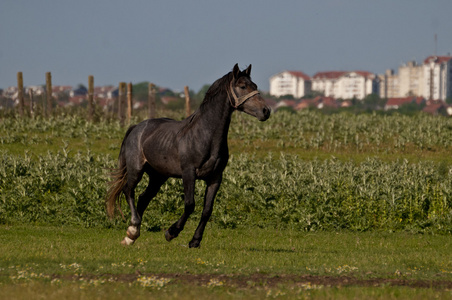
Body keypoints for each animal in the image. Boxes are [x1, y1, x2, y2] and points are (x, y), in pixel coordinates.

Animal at [106, 63, 270, 248]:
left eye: (254, 85)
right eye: (242, 86)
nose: (266, 111)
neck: (204, 135)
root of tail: (136, 127)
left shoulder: (215, 178)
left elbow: (207, 210)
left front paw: (195, 241)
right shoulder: (189, 173)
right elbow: (190, 205)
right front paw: (171, 232)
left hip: (158, 176)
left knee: (143, 198)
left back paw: (132, 234)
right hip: (136, 170)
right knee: (128, 191)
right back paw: (133, 230)